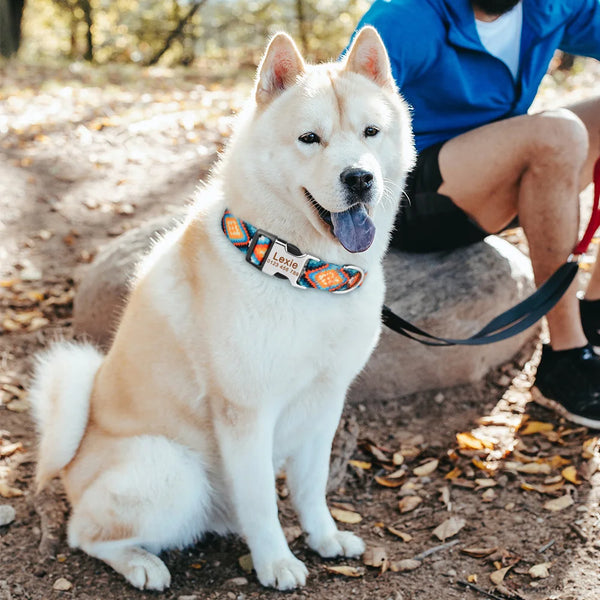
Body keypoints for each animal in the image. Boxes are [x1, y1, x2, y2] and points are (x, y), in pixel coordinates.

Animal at [28, 28, 412, 592]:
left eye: (371, 132)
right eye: (310, 138)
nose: (360, 177)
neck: (302, 270)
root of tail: (74, 459)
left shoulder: (325, 403)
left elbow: (311, 487)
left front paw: (324, 539)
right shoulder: (246, 415)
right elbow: (262, 503)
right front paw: (276, 563)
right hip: (173, 471)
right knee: (85, 534)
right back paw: (141, 564)